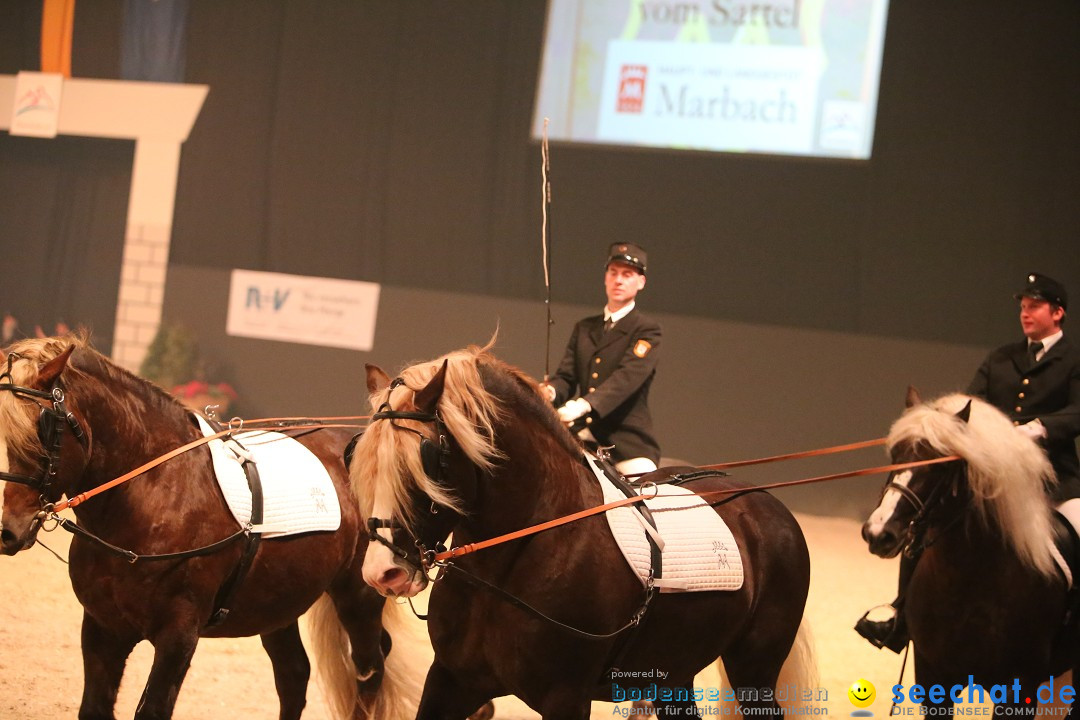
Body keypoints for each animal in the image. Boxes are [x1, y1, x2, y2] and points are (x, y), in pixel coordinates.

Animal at [0, 338, 416, 720]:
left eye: (45, 429)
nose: (9, 530)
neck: (156, 497)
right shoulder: (103, 628)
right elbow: (94, 708)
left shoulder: (179, 636)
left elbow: (153, 709)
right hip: (277, 602)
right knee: (294, 675)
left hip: (359, 596)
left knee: (369, 671)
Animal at [345, 345, 812, 720]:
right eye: (358, 455)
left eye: (427, 462)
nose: (381, 573)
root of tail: (767, 503)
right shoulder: (451, 680)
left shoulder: (565, 698)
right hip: (673, 673)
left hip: (754, 670)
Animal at [859, 395, 1080, 716]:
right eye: (896, 454)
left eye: (939, 464)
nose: (878, 533)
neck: (967, 587)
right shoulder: (933, 681)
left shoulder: (1017, 691)